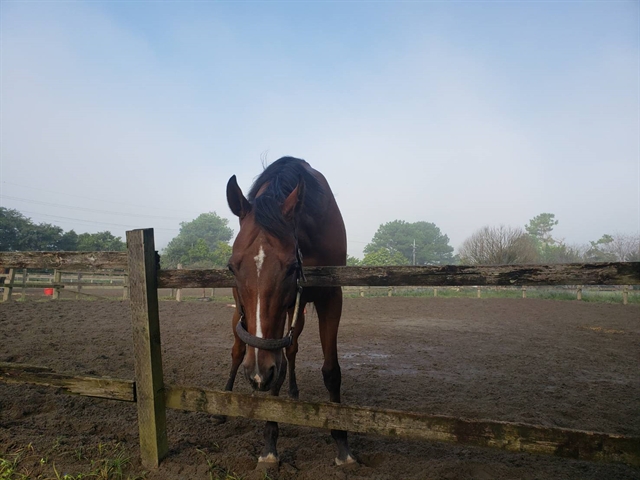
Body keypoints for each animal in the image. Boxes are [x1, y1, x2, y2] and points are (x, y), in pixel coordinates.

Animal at [224, 156, 355, 467]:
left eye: (291, 267)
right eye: (232, 267)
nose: (257, 374)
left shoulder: (330, 297)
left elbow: (330, 370)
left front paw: (342, 444)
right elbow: (275, 370)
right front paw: (269, 446)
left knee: (291, 350)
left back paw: (293, 394)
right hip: (241, 315)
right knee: (238, 351)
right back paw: (226, 398)